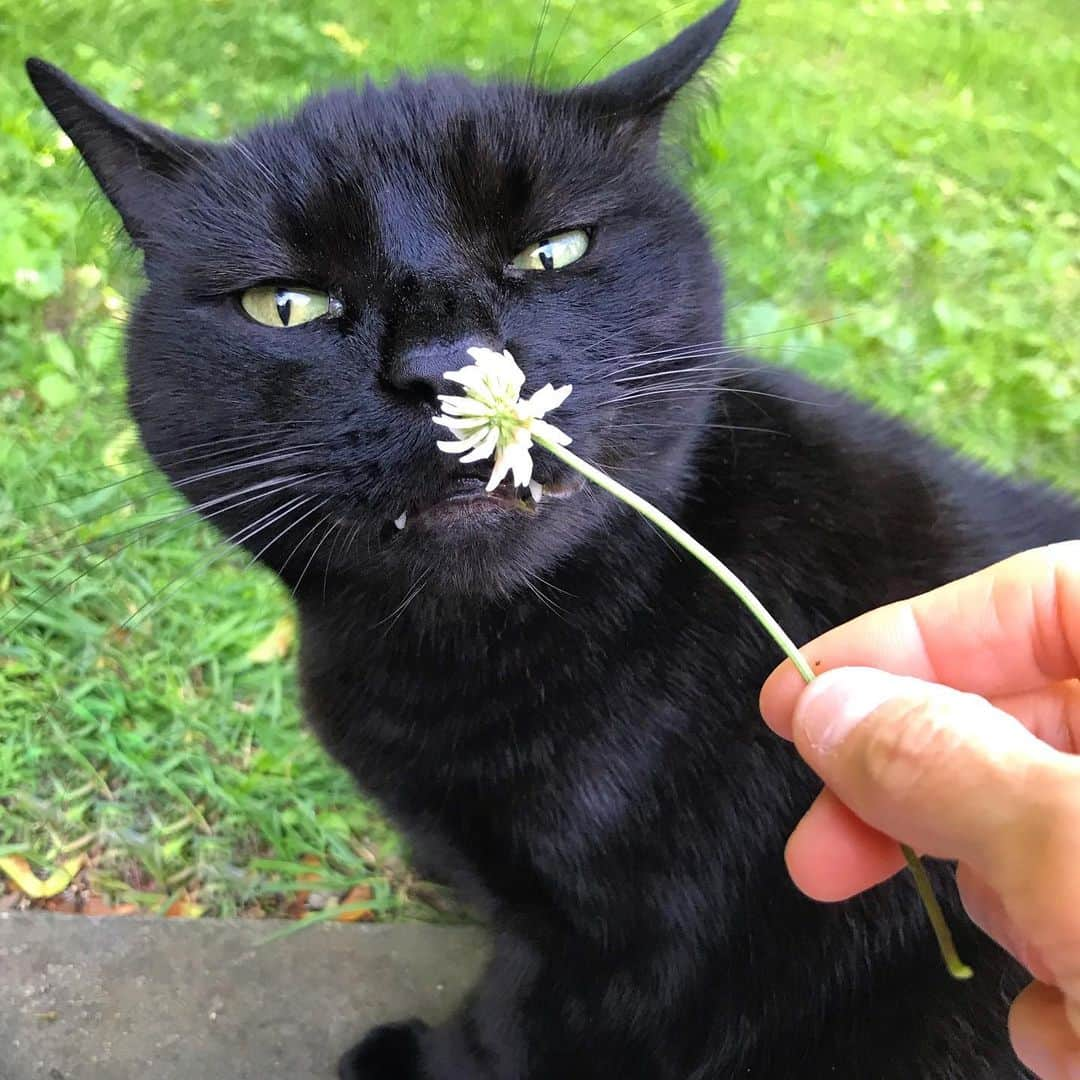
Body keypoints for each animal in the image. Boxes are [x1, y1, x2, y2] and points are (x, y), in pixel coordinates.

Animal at [25, 4, 1080, 1075]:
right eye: (286, 306)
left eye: (553, 253)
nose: (450, 367)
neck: (455, 660)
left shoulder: (625, 952)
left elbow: (509, 1025)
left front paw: (421, 1058)